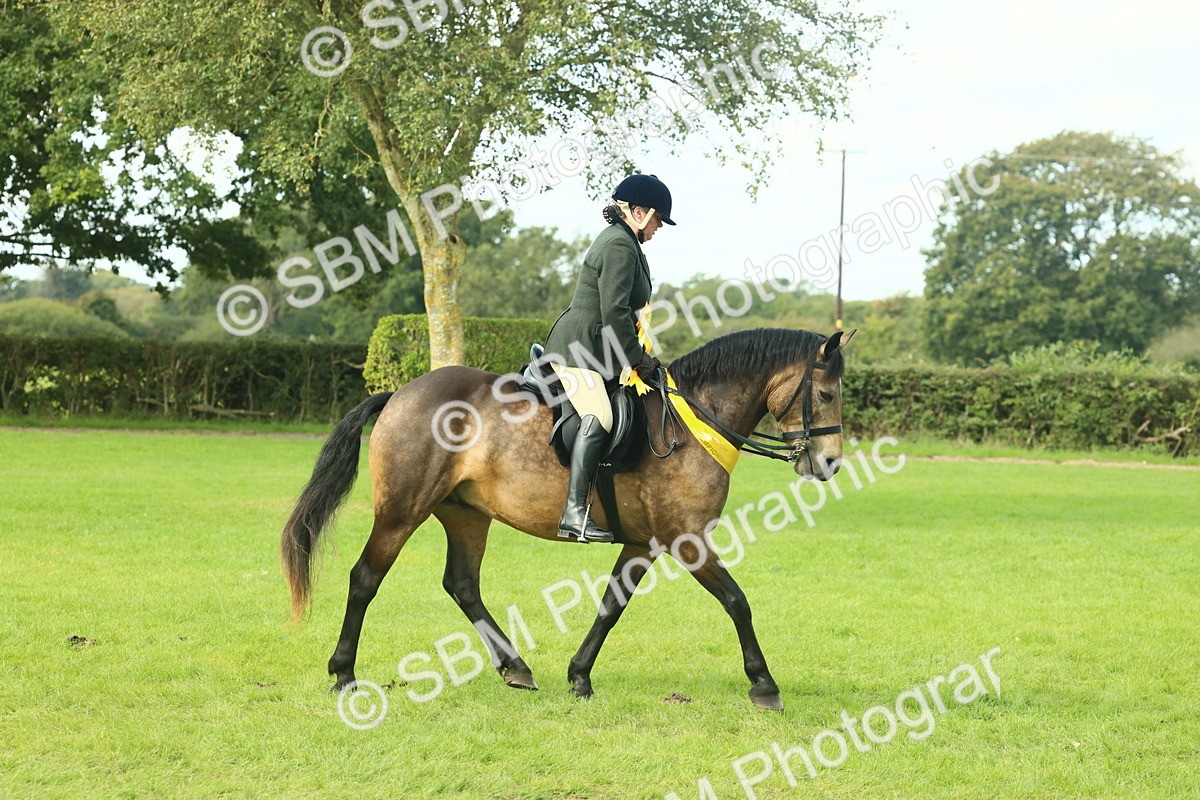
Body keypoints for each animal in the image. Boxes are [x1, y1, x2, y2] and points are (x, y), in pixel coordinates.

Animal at [281, 327, 854, 710]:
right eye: (826, 394)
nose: (829, 463)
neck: (692, 423)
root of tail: (400, 393)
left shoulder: (644, 543)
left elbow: (610, 607)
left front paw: (579, 675)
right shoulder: (687, 539)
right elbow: (738, 602)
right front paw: (765, 685)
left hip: (467, 515)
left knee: (462, 584)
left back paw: (515, 668)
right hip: (402, 511)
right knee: (366, 578)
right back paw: (344, 674)